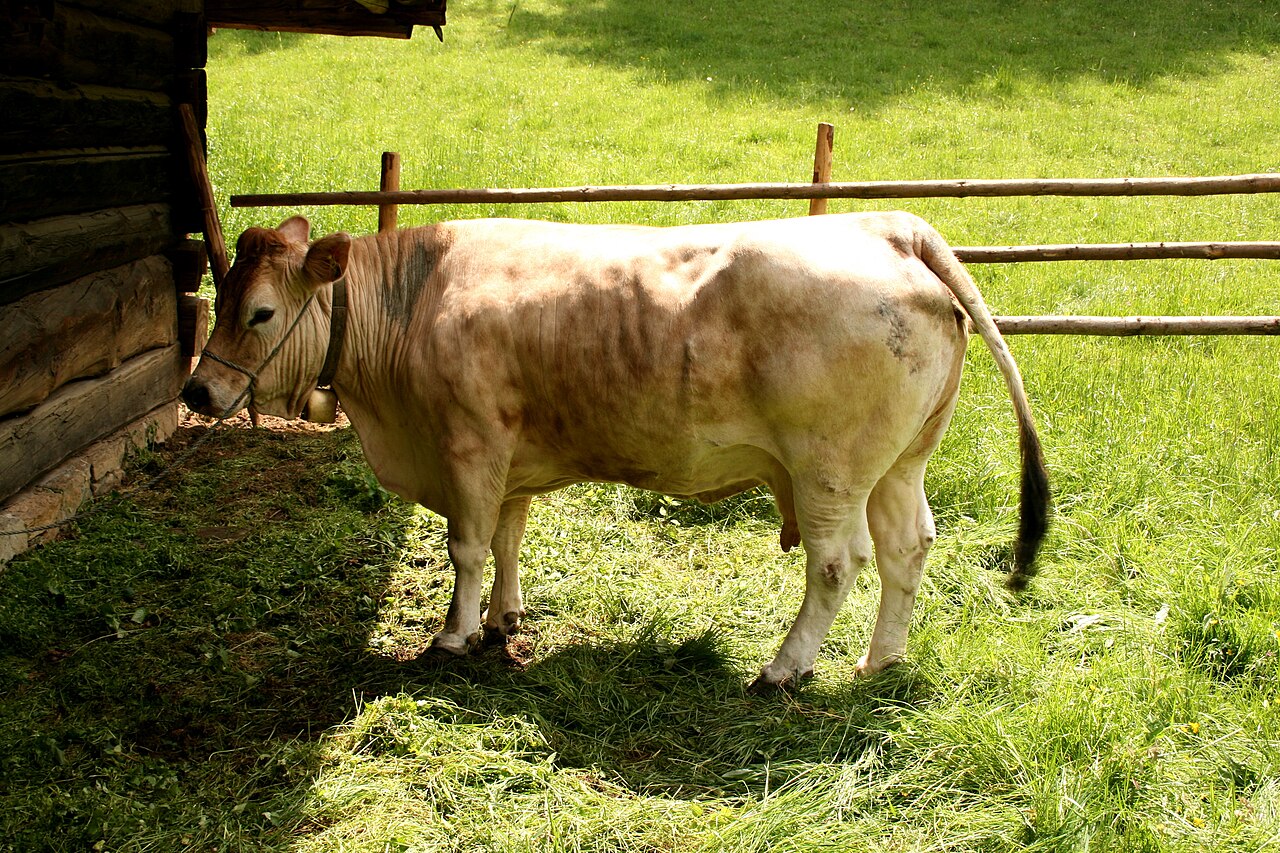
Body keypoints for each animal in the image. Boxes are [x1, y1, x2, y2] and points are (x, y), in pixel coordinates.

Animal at [182, 212, 1049, 690]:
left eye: (260, 312)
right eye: (220, 297)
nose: (196, 392)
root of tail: (892, 225)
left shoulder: (468, 445)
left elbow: (467, 547)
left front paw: (453, 634)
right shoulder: (510, 457)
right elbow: (508, 538)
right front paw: (503, 619)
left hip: (829, 473)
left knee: (836, 566)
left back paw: (782, 668)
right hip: (899, 465)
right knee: (908, 549)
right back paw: (882, 659)